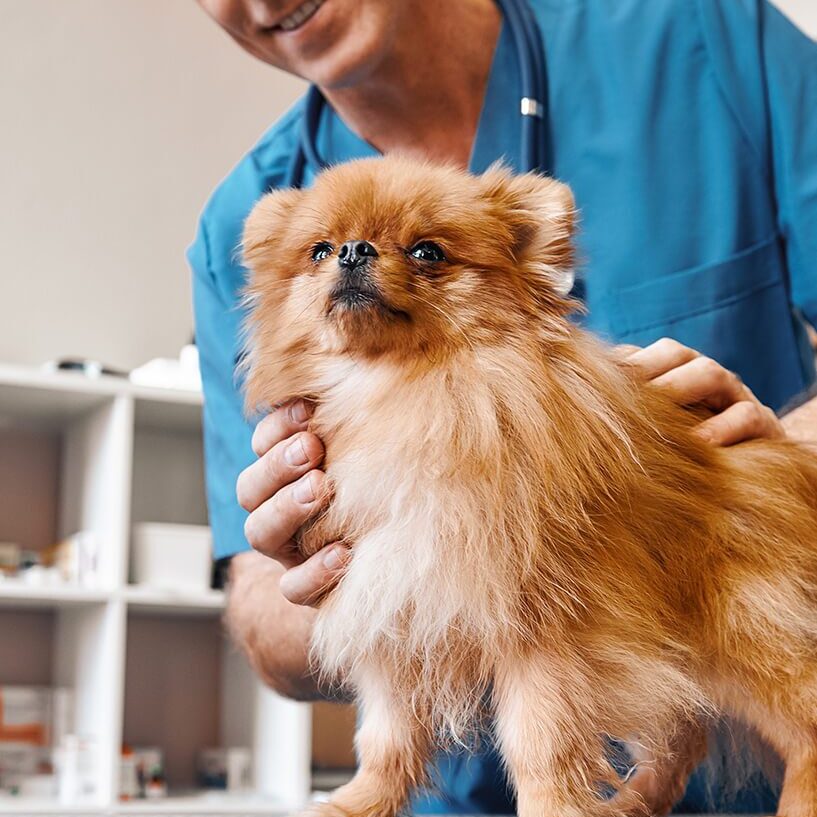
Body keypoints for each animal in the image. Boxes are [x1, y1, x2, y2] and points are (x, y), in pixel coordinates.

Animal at [244, 158, 817, 816]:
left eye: (427, 251)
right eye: (317, 250)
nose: (353, 249)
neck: (401, 393)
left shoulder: (545, 629)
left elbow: (543, 744)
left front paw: (555, 808)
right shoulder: (392, 608)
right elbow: (387, 739)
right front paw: (355, 803)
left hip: (742, 631)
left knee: (802, 724)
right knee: (681, 734)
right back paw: (631, 803)